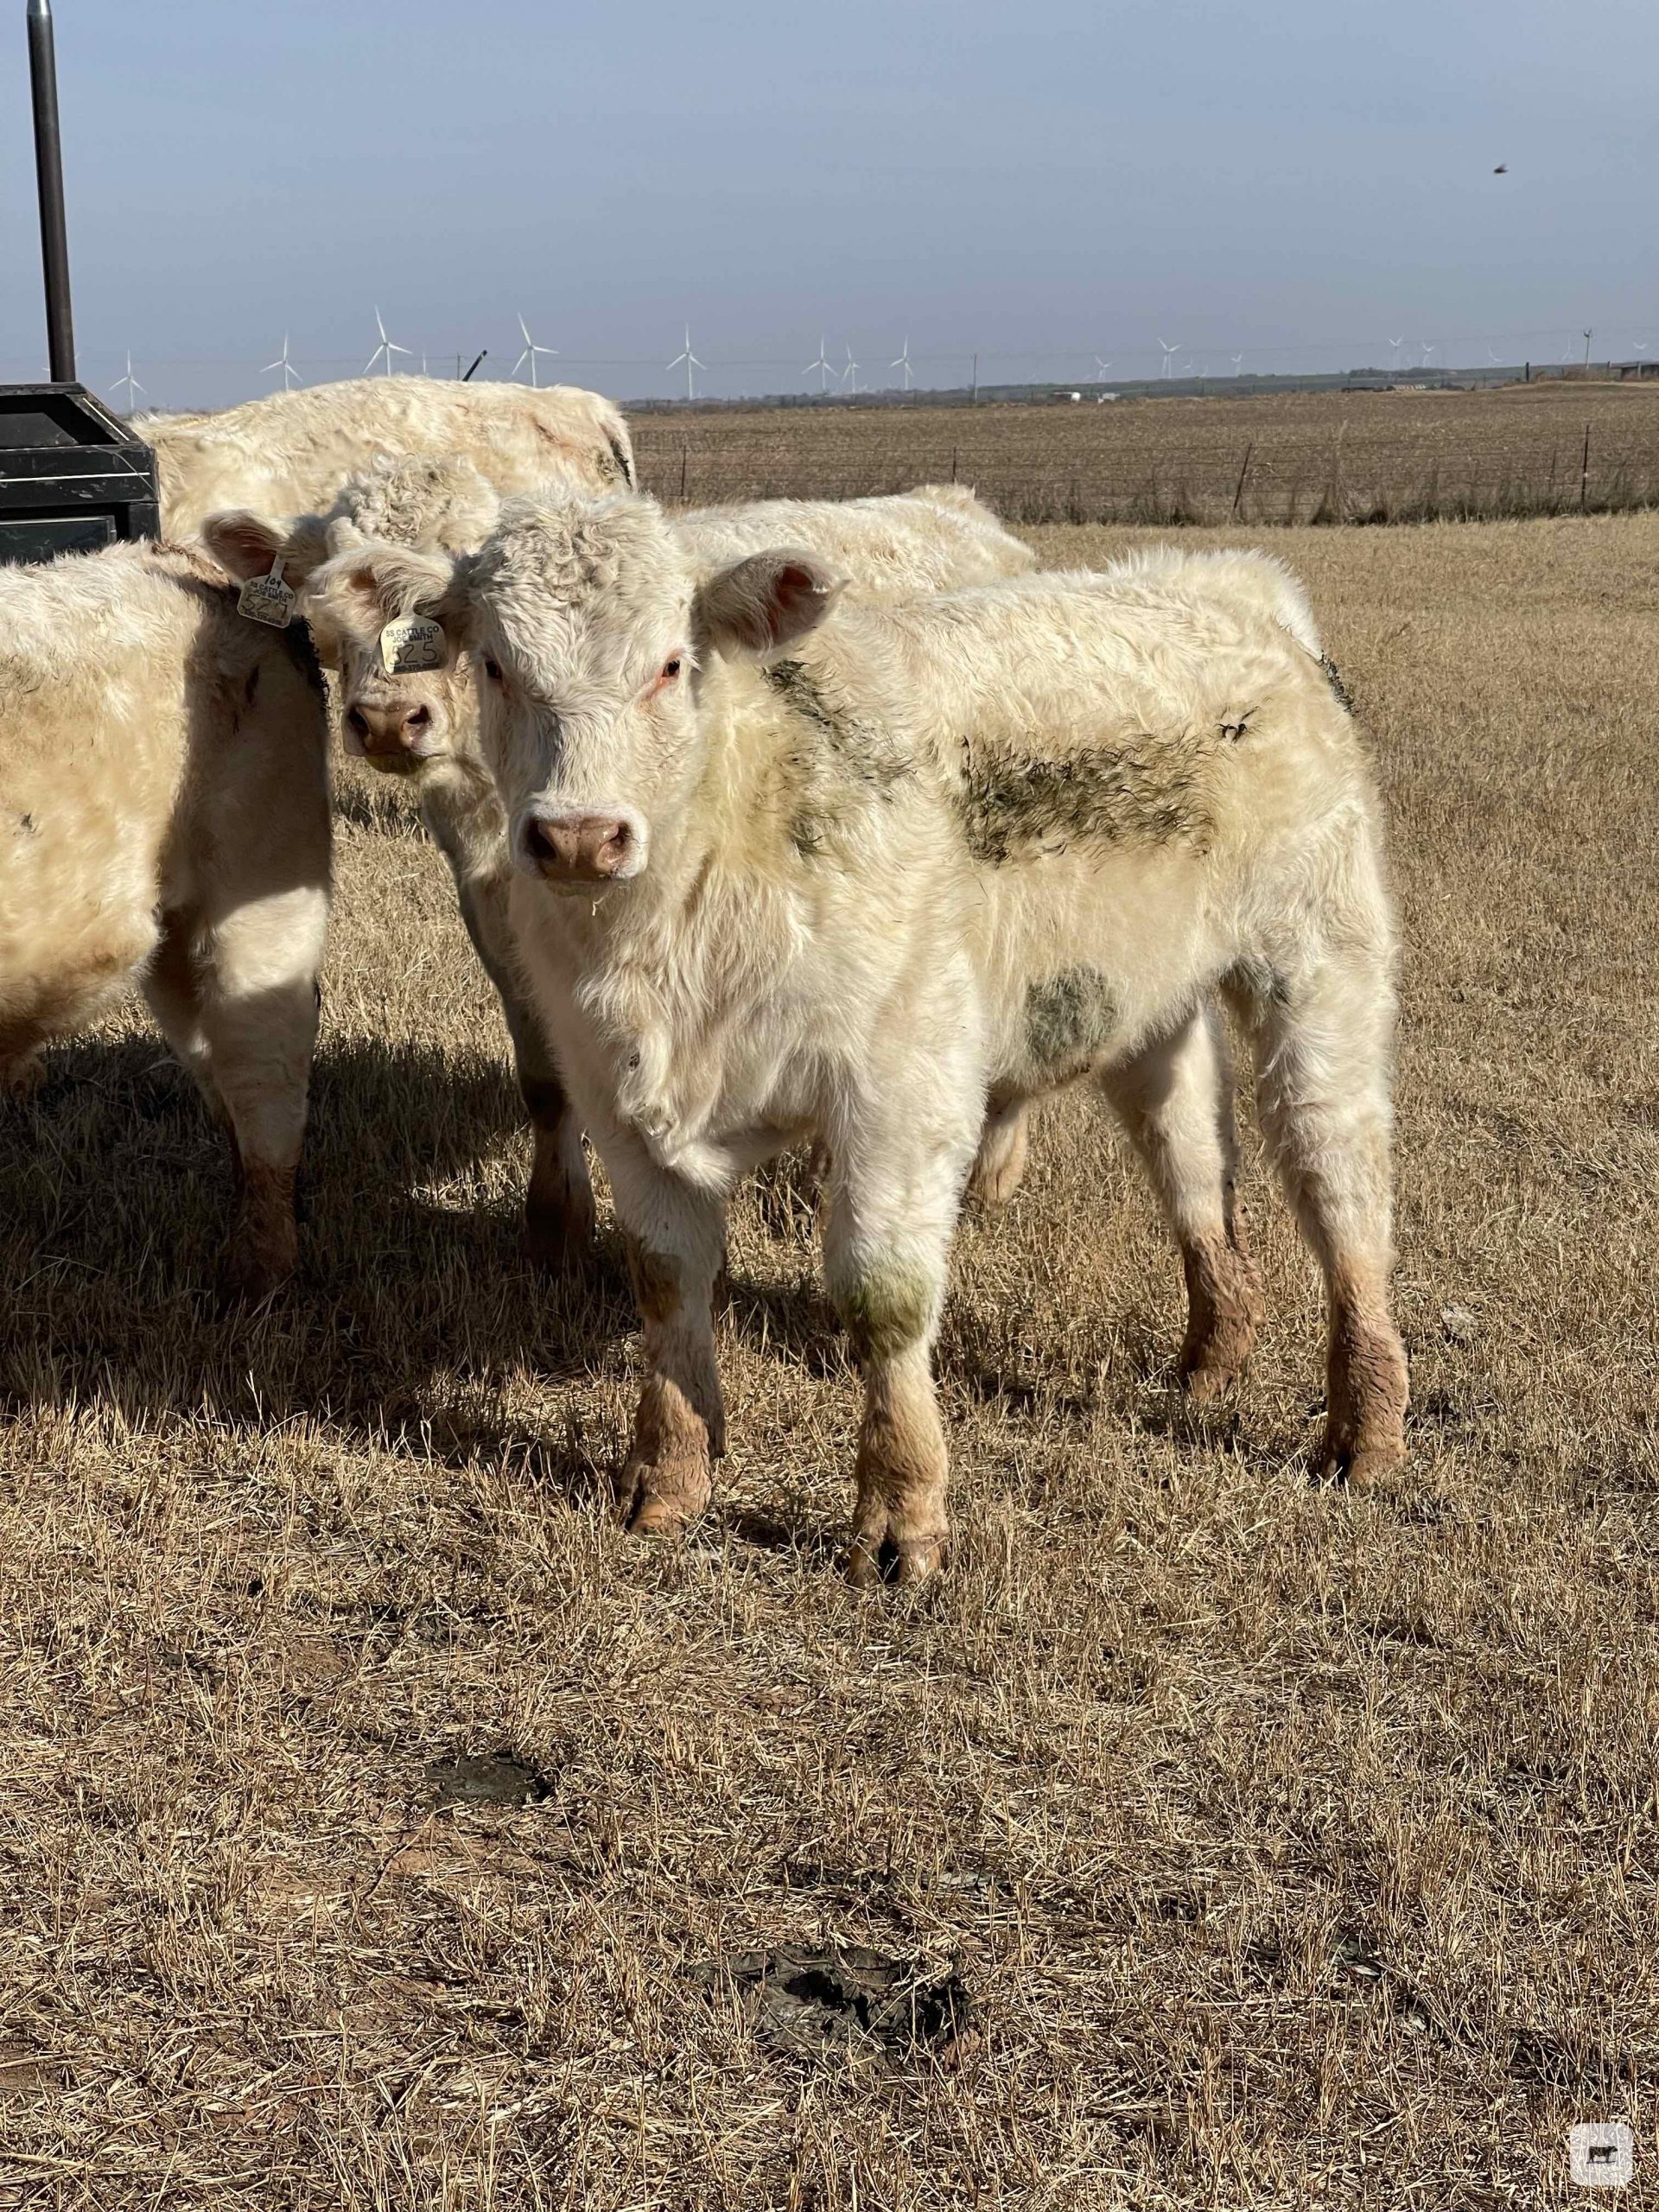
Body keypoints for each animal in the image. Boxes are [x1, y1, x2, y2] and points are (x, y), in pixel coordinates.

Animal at [202, 468, 1036, 1266]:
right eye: (330, 585)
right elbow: (546, 1080)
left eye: (672, 665)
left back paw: (986, 1175)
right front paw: (554, 1221)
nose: (385, 720)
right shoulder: (500, 921)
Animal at [303, 490, 1410, 1584]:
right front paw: (668, 1475)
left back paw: (1364, 1428)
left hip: (1317, 965)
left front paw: (900, 1512)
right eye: (493, 662)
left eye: (671, 662)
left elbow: (884, 1297)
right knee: (1189, 1157)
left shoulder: (901, 1088)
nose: (579, 836)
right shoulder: (612, 1092)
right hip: (1149, 1001)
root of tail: (1233, 585)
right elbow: (664, 1278)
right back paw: (1213, 1352)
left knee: (1335, 1175)